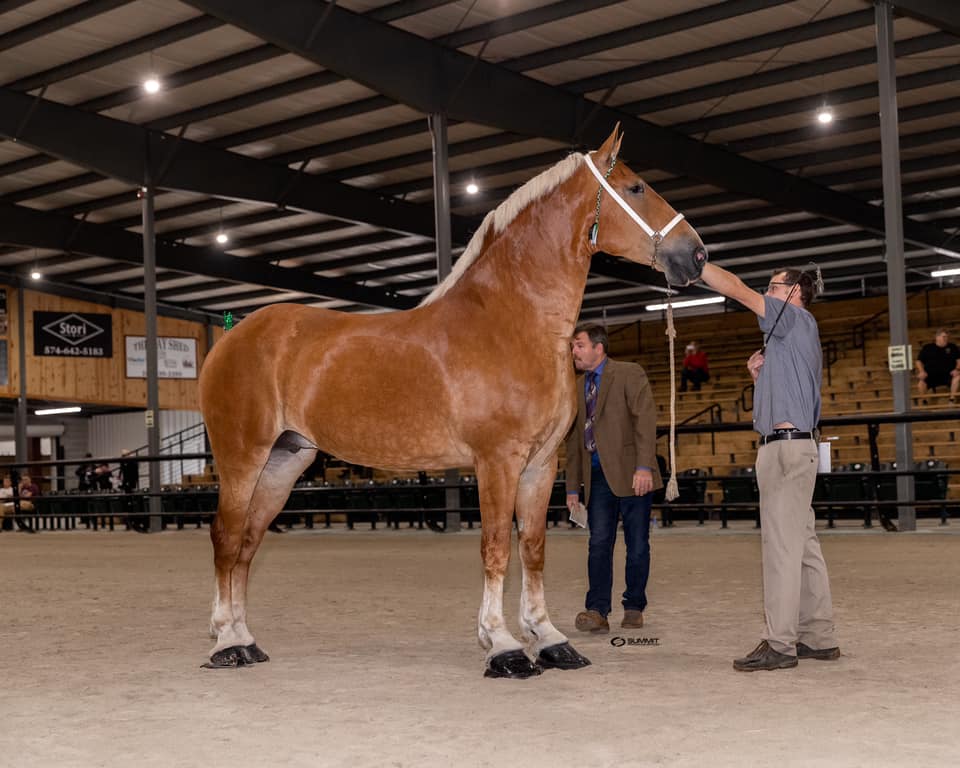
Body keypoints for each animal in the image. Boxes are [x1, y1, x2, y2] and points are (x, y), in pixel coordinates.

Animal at [197, 126, 704, 680]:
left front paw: (549, 639)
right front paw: (502, 646)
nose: (697, 255)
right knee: (226, 539)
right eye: (636, 188)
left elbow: (533, 549)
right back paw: (226, 643)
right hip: (243, 460)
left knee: (247, 545)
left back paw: (245, 639)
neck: (510, 320)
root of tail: (229, 338)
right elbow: (497, 548)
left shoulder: (541, 464)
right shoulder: (496, 462)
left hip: (284, 462)